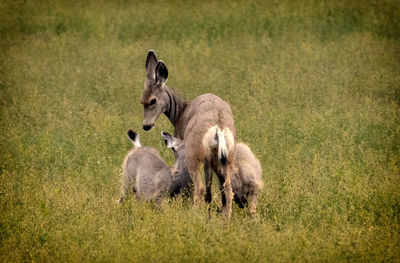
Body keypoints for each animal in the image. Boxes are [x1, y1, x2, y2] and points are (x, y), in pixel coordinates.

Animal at [140, 50, 236, 220]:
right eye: (141, 101)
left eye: (152, 101)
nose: (146, 126)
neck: (180, 112)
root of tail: (218, 127)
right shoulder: (208, 160)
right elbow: (210, 192)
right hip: (225, 157)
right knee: (227, 189)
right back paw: (225, 219)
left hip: (194, 154)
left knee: (200, 187)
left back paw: (194, 216)